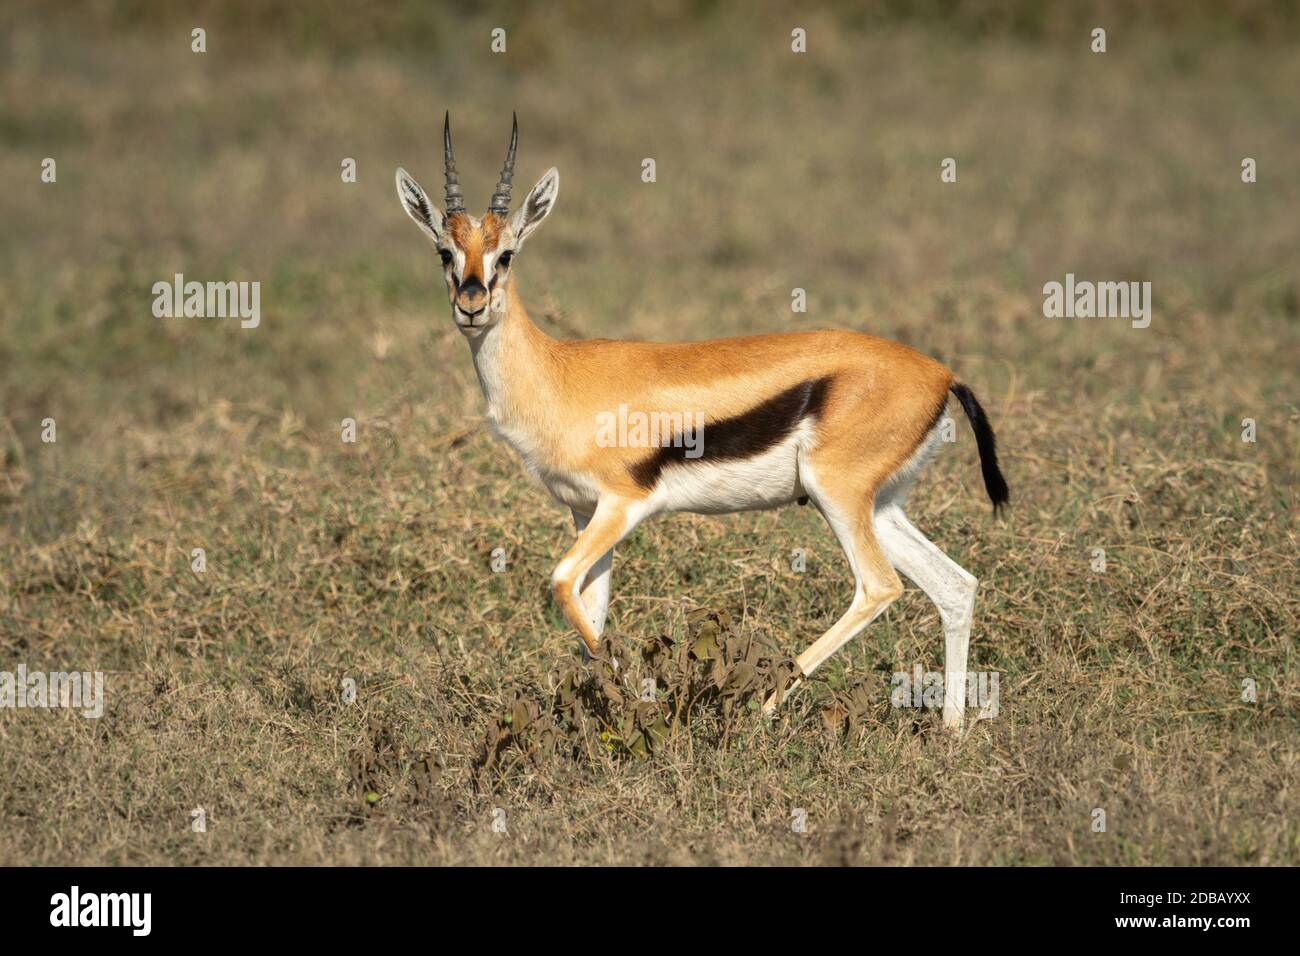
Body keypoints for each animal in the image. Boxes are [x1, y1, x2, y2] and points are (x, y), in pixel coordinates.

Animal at [396, 115, 1009, 729]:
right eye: (445, 252)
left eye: (506, 254)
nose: (471, 304)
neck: (556, 373)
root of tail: (942, 374)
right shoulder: (584, 511)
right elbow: (592, 612)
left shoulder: (623, 504)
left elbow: (563, 584)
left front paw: (639, 705)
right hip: (881, 506)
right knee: (955, 586)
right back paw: (952, 730)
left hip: (836, 494)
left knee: (880, 587)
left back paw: (762, 710)